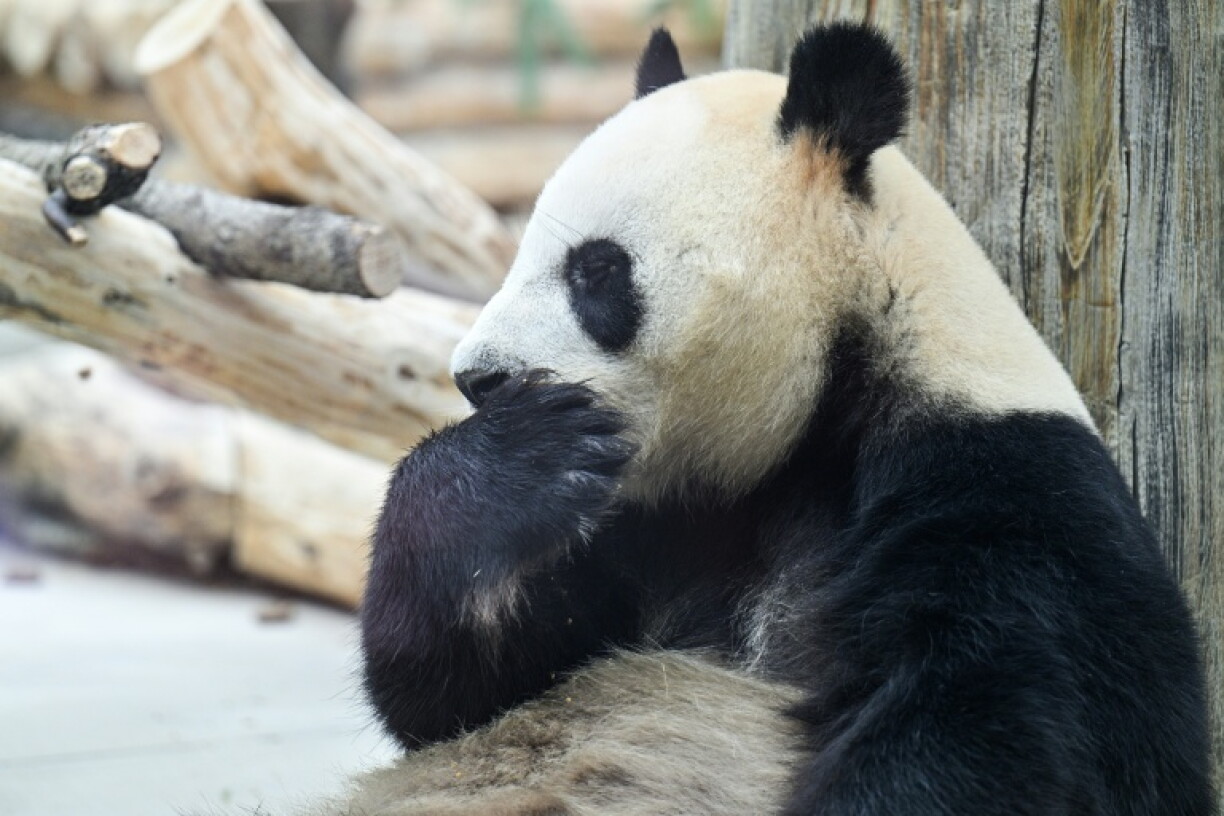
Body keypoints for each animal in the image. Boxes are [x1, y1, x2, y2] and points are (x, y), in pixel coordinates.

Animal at [339, 22, 1213, 816]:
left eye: (596, 269)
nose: (479, 379)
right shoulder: (651, 517)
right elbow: (460, 696)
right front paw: (517, 461)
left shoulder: (1006, 502)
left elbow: (991, 731)